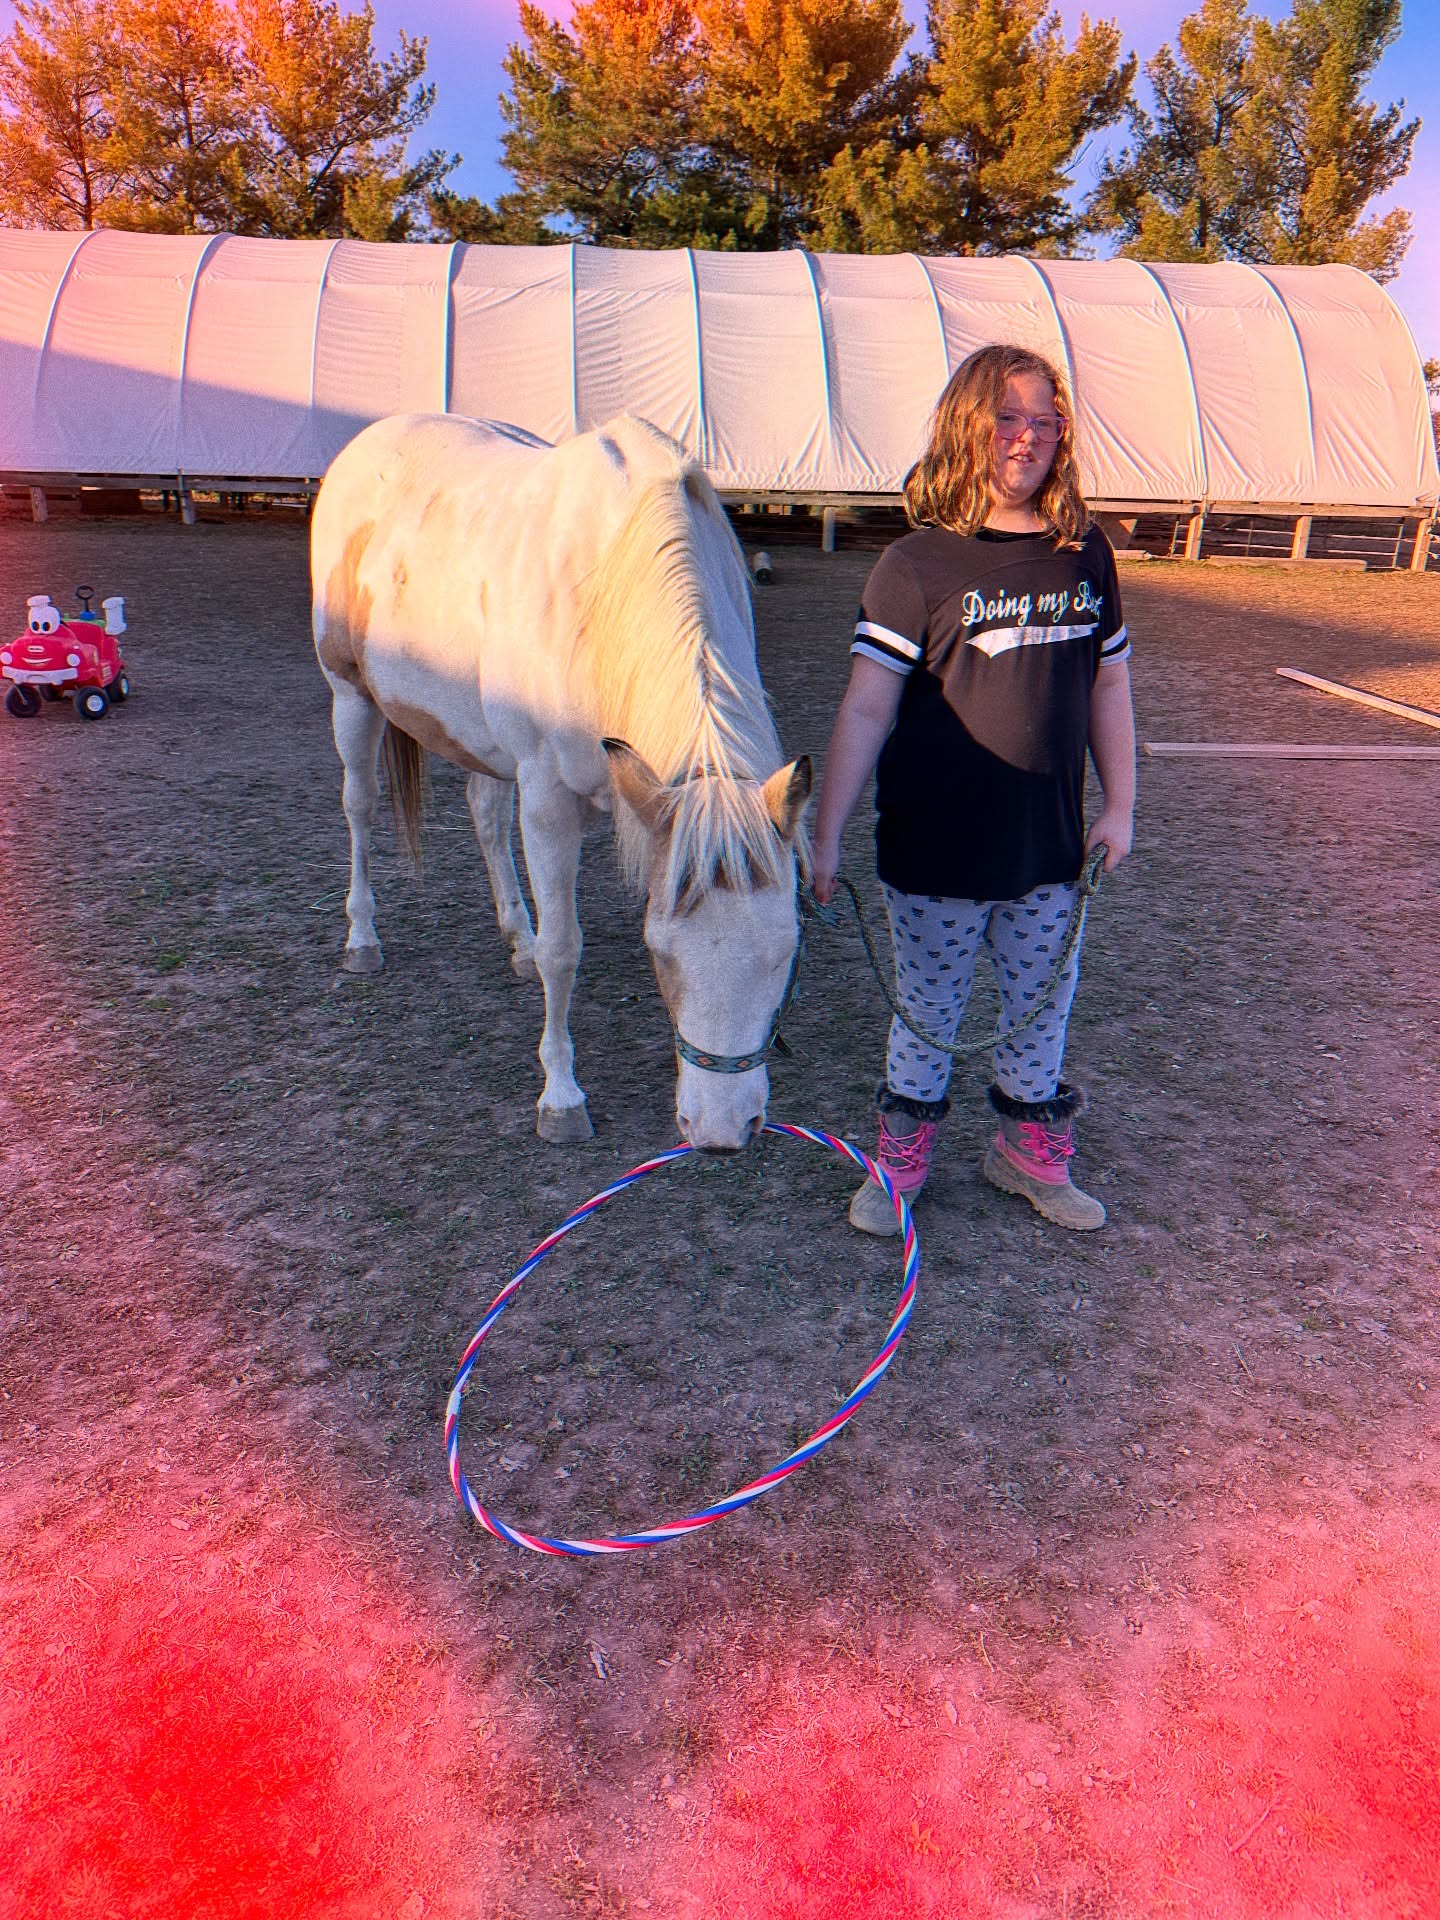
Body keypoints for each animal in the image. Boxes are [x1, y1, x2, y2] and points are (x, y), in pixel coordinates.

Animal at [310, 412, 811, 1151]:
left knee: (486, 816)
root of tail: (367, 440)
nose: (721, 1129)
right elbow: (564, 950)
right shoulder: (549, 799)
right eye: (660, 952)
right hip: (351, 695)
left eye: (784, 953)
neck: (608, 595)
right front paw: (561, 1099)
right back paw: (363, 938)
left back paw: (515, 937)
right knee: (360, 809)